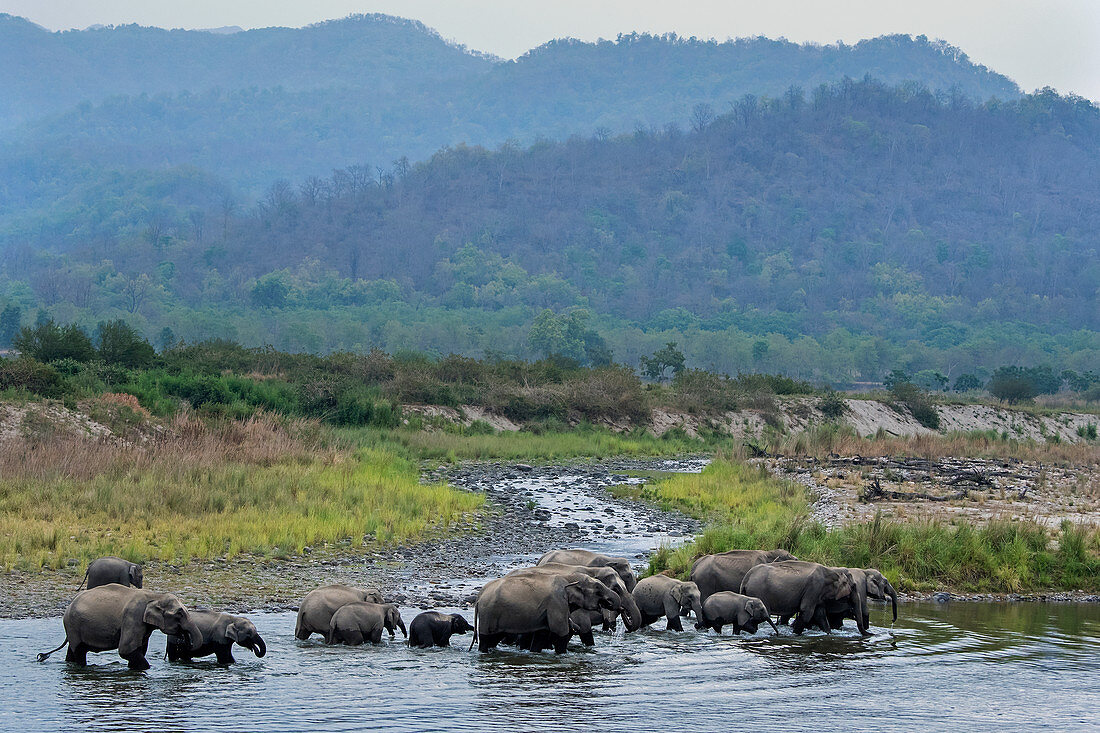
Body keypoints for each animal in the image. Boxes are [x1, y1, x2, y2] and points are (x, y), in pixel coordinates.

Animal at [37, 581, 201, 669]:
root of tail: (69, 606)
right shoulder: (132, 617)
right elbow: (126, 650)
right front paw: (148, 668)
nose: (185, 640)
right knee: (79, 651)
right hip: (73, 625)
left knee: (72, 650)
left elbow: (140, 649)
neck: (155, 595)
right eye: (179, 614)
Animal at [473, 567, 624, 647]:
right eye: (598, 589)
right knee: (486, 640)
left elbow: (542, 635)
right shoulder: (556, 603)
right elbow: (561, 633)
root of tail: (479, 597)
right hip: (489, 613)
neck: (569, 576)